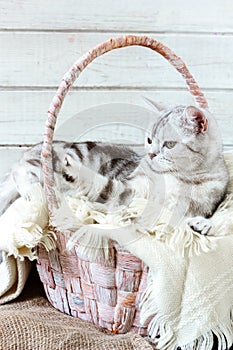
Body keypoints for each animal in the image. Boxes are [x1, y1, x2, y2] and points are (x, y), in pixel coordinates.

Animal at [0, 101, 229, 235]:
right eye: (149, 140)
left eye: (170, 144)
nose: (151, 154)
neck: (182, 178)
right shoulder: (130, 189)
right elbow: (103, 184)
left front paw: (204, 225)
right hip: (66, 155)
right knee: (22, 169)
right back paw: (34, 191)